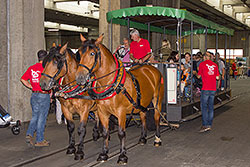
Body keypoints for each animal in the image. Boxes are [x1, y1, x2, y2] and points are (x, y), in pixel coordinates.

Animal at [75, 34, 163, 164]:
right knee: (143, 117)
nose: (80, 78)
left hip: (157, 99)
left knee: (157, 117)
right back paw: (142, 138)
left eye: (92, 53)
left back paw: (157, 139)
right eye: (79, 53)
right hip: (142, 102)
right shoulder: (102, 112)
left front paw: (122, 156)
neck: (111, 83)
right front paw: (103, 154)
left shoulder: (121, 112)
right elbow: (105, 132)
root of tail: (152, 69)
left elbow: (121, 133)